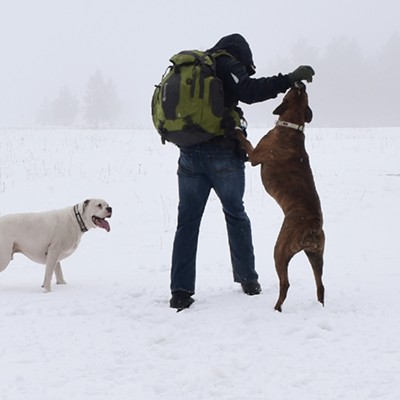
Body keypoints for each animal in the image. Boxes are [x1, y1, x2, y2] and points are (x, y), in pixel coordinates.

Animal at [238, 82, 324, 312]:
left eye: (294, 92)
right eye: (302, 93)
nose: (300, 83)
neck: (292, 126)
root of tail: (313, 225)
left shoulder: (255, 156)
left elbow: (245, 141)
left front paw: (234, 129)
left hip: (280, 251)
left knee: (285, 284)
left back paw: (277, 308)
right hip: (316, 256)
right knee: (320, 285)